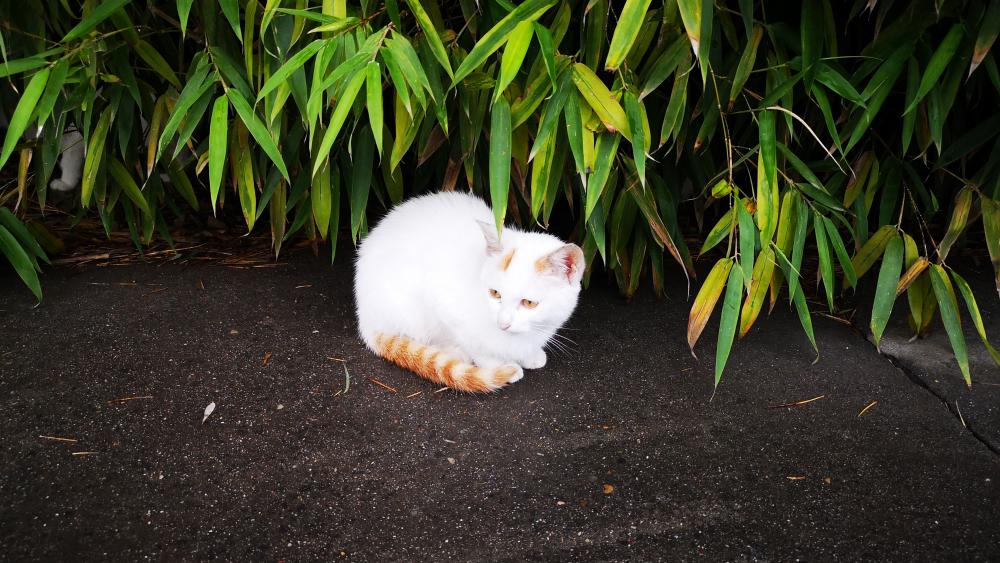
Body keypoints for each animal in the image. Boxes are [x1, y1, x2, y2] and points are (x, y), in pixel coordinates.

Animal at [354, 193, 584, 392]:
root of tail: (365, 317)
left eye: (529, 303)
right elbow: (476, 345)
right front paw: (497, 365)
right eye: (495, 293)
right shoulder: (444, 300)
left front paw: (530, 354)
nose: (503, 323)